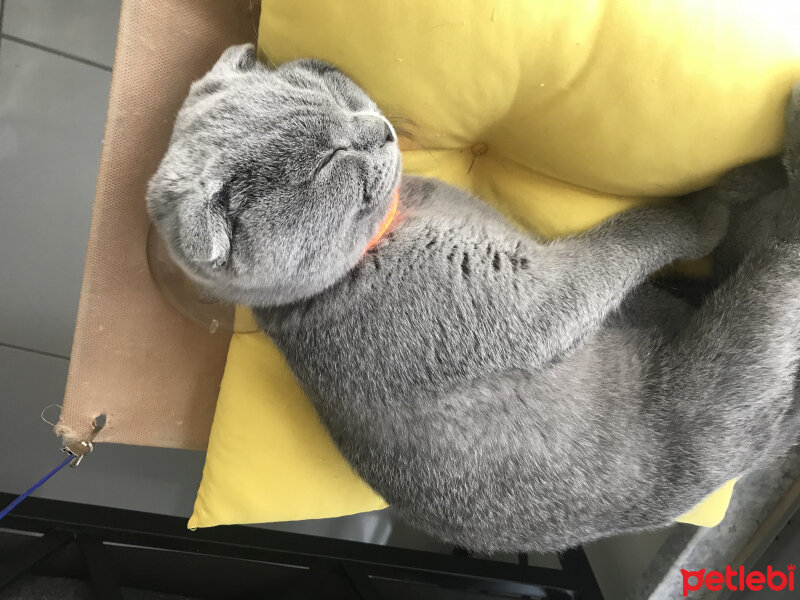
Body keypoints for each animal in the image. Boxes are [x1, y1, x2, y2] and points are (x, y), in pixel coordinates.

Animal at [147, 43, 800, 552]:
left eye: (338, 92)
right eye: (331, 158)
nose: (380, 129)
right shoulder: (532, 301)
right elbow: (633, 237)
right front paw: (697, 211)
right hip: (721, 377)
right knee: (775, 258)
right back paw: (766, 170)